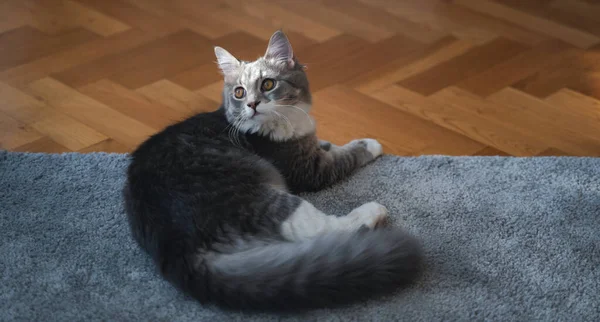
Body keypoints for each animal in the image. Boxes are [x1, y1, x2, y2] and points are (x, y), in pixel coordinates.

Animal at [123, 30, 422, 312]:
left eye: (268, 84)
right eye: (240, 92)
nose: (253, 105)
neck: (289, 119)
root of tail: (178, 250)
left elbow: (328, 145)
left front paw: (330, 142)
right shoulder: (309, 169)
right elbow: (347, 154)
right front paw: (371, 144)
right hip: (271, 199)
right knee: (325, 229)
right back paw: (373, 212)